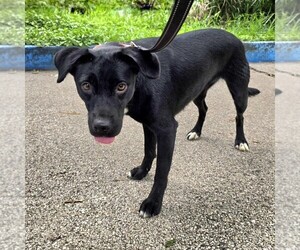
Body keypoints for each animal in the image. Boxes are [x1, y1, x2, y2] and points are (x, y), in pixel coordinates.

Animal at [54, 28, 260, 218]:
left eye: (121, 86)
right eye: (86, 86)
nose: (102, 128)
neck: (140, 78)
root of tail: (232, 35)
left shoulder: (166, 130)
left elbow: (162, 171)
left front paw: (152, 203)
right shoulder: (148, 124)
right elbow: (149, 151)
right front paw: (141, 172)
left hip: (239, 89)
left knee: (239, 116)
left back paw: (241, 141)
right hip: (198, 90)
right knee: (204, 109)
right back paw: (196, 131)